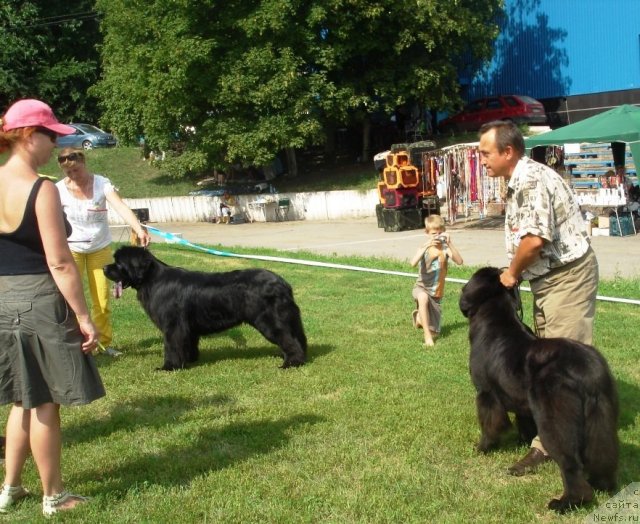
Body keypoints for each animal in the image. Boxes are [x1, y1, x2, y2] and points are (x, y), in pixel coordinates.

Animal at [103, 248, 308, 370]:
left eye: (119, 263)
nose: (104, 268)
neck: (152, 280)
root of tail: (283, 283)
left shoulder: (172, 325)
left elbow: (171, 346)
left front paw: (169, 367)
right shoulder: (186, 327)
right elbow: (188, 344)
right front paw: (189, 360)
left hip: (269, 320)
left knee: (288, 339)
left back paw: (291, 363)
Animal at [460, 268, 620, 512]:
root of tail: (587, 369)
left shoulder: (486, 393)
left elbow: (490, 424)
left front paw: (483, 447)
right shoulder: (521, 401)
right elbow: (524, 423)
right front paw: (522, 443)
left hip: (554, 417)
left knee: (570, 463)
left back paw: (567, 502)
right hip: (601, 416)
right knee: (603, 453)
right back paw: (602, 484)